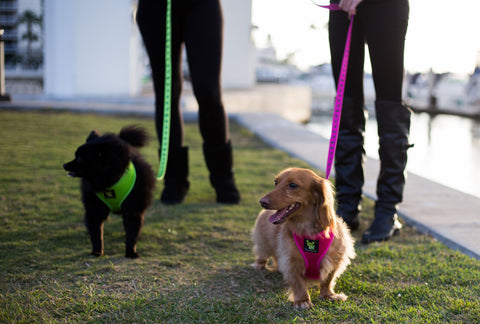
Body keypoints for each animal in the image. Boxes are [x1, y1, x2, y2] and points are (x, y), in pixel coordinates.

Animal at [62, 125, 155, 260]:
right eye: (75, 156)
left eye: (79, 158)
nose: (64, 165)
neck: (109, 181)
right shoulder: (95, 209)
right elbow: (96, 233)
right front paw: (97, 251)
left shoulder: (133, 209)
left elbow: (132, 233)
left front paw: (131, 252)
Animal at [253, 168, 354, 308]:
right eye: (276, 182)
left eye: (293, 185)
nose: (262, 202)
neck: (309, 232)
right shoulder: (291, 262)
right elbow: (298, 283)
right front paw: (302, 300)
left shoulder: (335, 259)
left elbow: (328, 279)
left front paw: (328, 295)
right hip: (263, 243)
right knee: (263, 254)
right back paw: (259, 265)